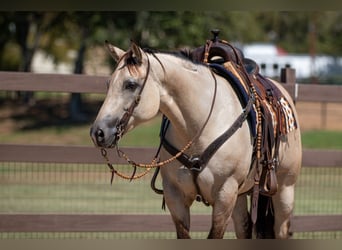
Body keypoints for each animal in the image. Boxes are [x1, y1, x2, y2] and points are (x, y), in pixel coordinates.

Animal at [89, 32, 300, 239]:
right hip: (240, 195)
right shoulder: (175, 196)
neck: (200, 126)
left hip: (284, 189)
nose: (97, 132)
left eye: (130, 84)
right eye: (108, 84)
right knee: (244, 228)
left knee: (281, 228)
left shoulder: (224, 195)